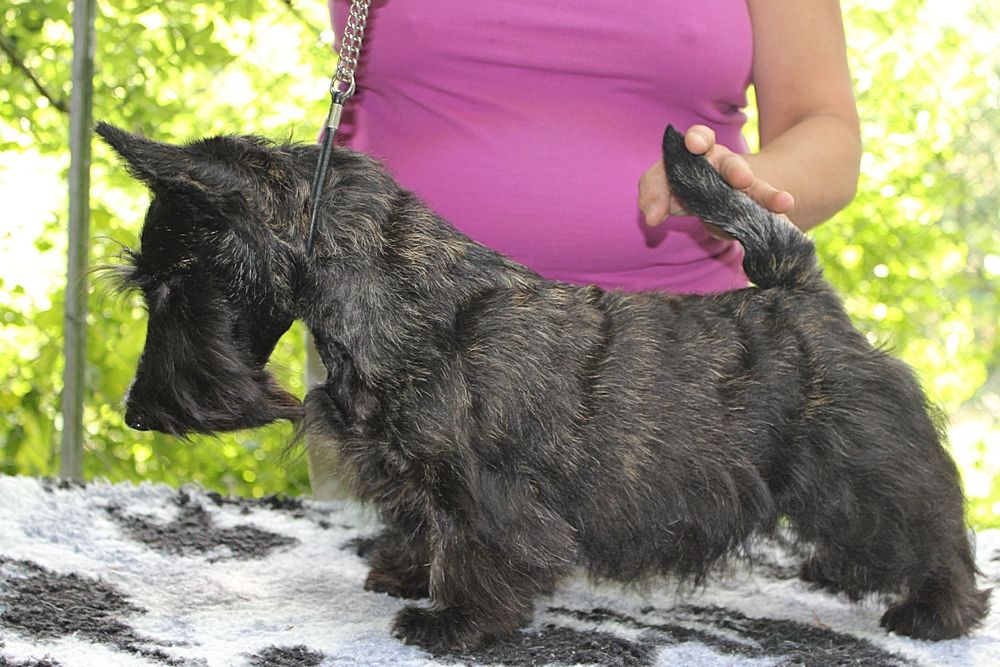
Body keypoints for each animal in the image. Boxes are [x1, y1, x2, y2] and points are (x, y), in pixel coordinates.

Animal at [96, 121, 989, 652]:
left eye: (169, 281)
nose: (139, 413)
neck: (398, 291)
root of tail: (799, 289)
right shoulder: (413, 470)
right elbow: (423, 523)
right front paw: (406, 570)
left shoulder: (483, 487)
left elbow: (477, 547)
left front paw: (454, 620)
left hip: (865, 459)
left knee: (932, 528)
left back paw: (933, 610)